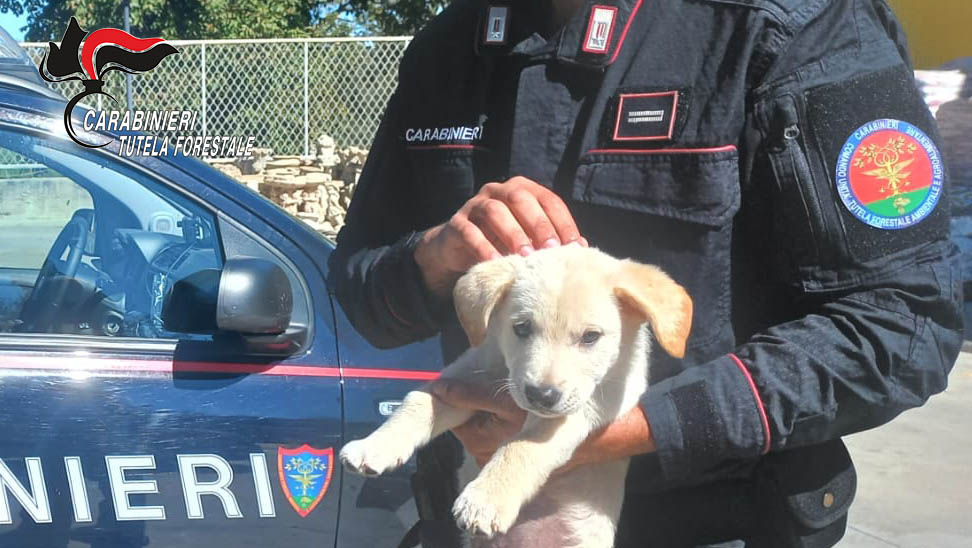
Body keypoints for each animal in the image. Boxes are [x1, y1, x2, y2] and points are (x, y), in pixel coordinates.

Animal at [340, 245, 692, 548]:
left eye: (591, 337)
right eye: (521, 328)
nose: (542, 395)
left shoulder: (589, 407)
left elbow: (522, 446)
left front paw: (486, 499)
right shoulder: (463, 380)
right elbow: (418, 401)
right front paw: (374, 447)